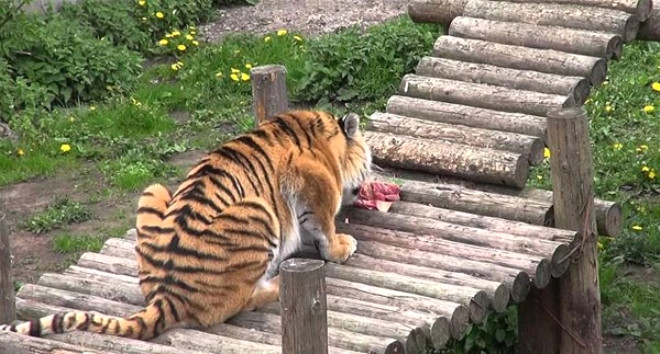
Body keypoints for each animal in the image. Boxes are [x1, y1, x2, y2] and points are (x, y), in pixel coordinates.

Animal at [0, 110, 372, 340]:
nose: (367, 184)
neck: (327, 138)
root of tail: (168, 296)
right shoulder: (313, 179)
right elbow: (323, 222)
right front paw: (340, 247)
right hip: (258, 210)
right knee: (236, 303)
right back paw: (279, 283)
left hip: (154, 190)